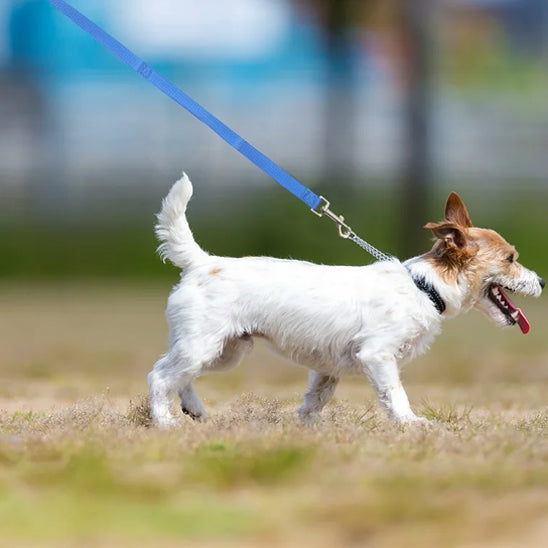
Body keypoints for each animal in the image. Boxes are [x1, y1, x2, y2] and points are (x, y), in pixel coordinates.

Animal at [148, 174, 544, 428]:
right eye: (510, 258)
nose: (541, 280)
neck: (422, 287)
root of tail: (203, 262)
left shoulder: (328, 369)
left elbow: (316, 400)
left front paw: (307, 430)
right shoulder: (378, 356)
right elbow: (395, 393)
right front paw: (411, 423)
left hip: (225, 351)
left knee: (180, 377)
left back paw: (193, 410)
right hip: (204, 345)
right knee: (160, 376)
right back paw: (164, 422)